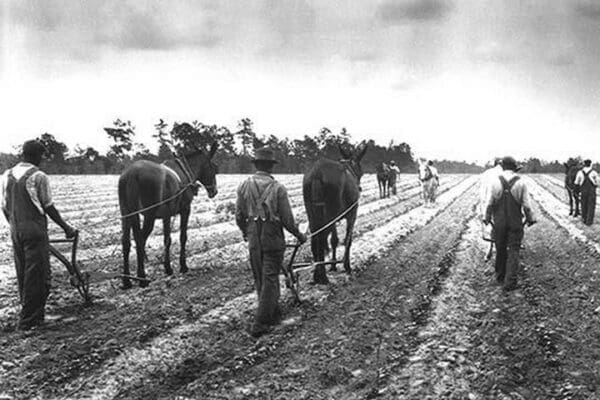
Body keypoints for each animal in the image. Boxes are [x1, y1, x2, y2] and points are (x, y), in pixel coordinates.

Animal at [118, 142, 219, 290]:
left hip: (126, 214)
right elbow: (183, 237)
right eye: (213, 168)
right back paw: (142, 277)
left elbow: (167, 239)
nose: (214, 191)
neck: (185, 171)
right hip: (148, 216)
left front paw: (168, 268)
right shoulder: (185, 210)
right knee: (140, 240)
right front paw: (183, 266)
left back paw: (126, 280)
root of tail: (131, 173)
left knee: (126, 242)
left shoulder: (166, 215)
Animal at [302, 141, 368, 284]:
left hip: (314, 215)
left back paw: (317, 274)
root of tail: (317, 173)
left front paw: (332, 265)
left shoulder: (334, 219)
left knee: (315, 240)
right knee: (320, 239)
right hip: (330, 214)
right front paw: (346, 266)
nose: (359, 187)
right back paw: (322, 276)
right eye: (361, 171)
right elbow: (347, 240)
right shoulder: (351, 215)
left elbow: (334, 240)